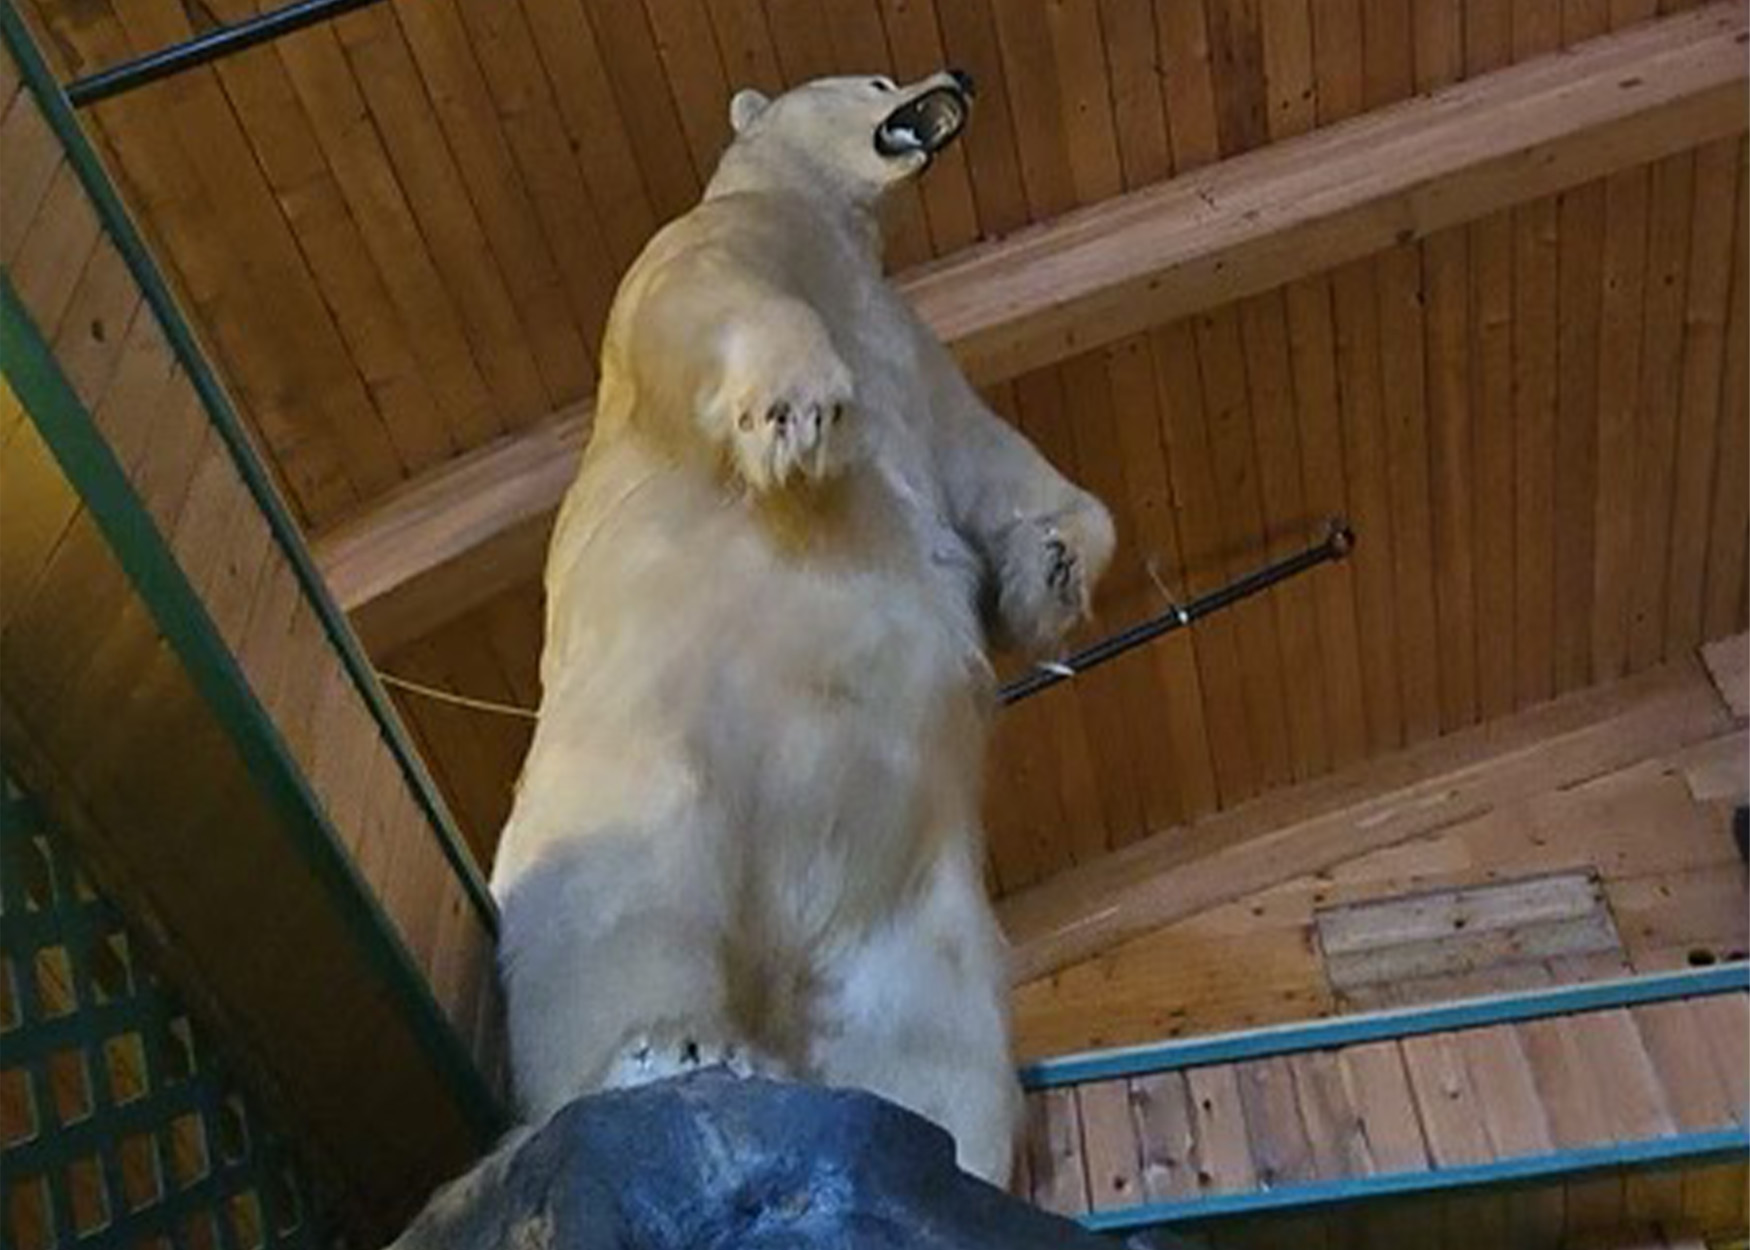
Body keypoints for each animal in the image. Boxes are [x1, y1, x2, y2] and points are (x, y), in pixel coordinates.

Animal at [488, 69, 1114, 1186]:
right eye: (874, 79)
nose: (953, 77)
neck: (829, 227)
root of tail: (776, 946)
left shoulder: (915, 349)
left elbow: (989, 457)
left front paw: (1054, 565)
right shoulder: (716, 242)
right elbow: (706, 300)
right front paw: (799, 409)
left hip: (908, 902)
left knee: (931, 1032)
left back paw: (940, 1152)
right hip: (647, 759)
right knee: (614, 913)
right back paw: (659, 1052)